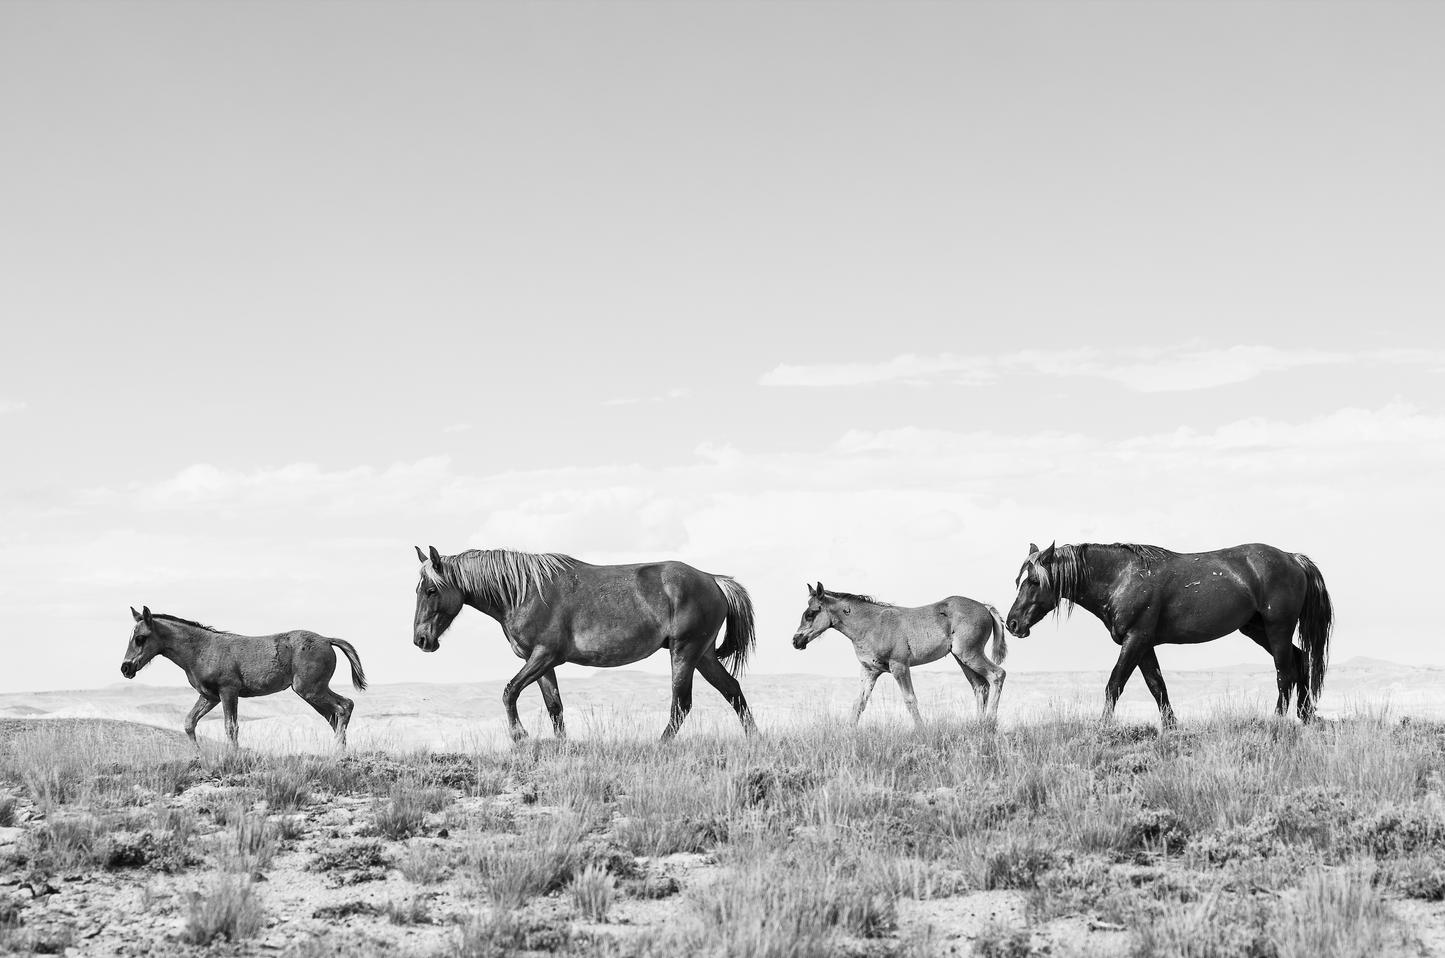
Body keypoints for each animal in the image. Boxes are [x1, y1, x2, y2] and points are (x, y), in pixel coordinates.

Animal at [119, 606, 367, 748]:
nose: (125, 668)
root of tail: (327, 639)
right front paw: (200, 757)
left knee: (344, 707)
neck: (201, 649)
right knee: (336, 715)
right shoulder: (210, 696)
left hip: (310, 689)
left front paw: (233, 758)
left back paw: (337, 753)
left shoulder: (228, 691)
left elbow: (231, 727)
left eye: (140, 638)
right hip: (311, 692)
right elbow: (189, 723)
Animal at [411, 545, 758, 741]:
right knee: (732, 691)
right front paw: (561, 745)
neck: (524, 592)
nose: (421, 640)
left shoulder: (544, 656)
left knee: (681, 704)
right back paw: (754, 740)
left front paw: (520, 736)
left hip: (684, 653)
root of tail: (712, 579)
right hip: (703, 656)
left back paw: (660, 744)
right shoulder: (541, 663)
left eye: (431, 590)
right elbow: (554, 706)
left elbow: (509, 692)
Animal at [791, 583, 1008, 724]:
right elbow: (859, 702)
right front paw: (847, 732)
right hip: (962, 658)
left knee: (997, 675)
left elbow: (910, 700)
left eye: (810, 614)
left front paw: (922, 731)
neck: (871, 625)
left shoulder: (900, 666)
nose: (795, 641)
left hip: (970, 654)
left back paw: (989, 723)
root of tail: (985, 607)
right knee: (980, 686)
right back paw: (978, 725)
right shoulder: (869, 671)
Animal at [1004, 542, 1333, 725]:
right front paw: (1171, 727)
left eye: (1034, 581)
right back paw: (1306, 716)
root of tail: (1292, 558)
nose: (1013, 624)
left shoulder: (1135, 639)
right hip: (1256, 629)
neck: (1121, 578)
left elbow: (1114, 685)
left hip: (1278, 628)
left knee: (1284, 672)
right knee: (1299, 661)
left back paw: (1278, 720)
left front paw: (1103, 727)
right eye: (1021, 580)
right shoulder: (1143, 644)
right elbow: (1157, 686)